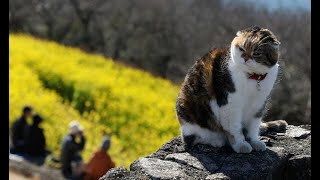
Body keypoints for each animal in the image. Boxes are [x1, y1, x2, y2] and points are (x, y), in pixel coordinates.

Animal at [175, 26, 288, 154]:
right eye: (242, 49)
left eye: (256, 53)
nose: (245, 59)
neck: (252, 78)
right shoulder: (230, 105)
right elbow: (234, 129)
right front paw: (241, 145)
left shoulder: (259, 104)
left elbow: (253, 127)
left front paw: (255, 142)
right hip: (189, 115)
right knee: (192, 139)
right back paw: (216, 141)